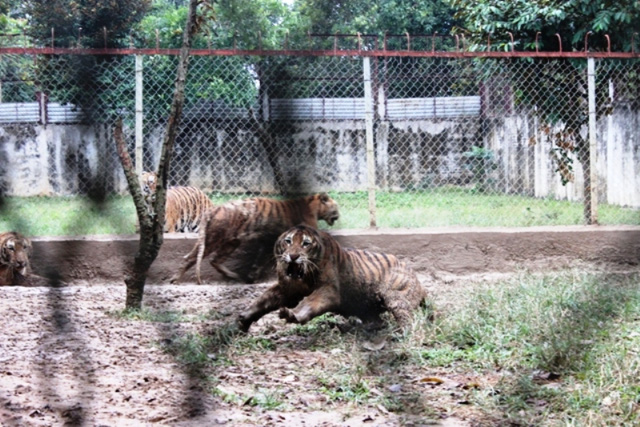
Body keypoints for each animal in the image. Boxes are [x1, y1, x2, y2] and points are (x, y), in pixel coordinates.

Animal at [170, 193, 340, 284]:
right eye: (336, 208)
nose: (339, 215)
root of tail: (215, 208)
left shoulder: (267, 242)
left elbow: (260, 261)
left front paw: (252, 277)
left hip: (231, 242)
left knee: (214, 260)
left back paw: (233, 276)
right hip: (213, 239)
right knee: (190, 258)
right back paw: (174, 279)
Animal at [238, 226, 428, 332]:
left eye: (305, 243)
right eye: (288, 241)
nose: (293, 256)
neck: (303, 277)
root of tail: (419, 282)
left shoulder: (328, 290)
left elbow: (309, 302)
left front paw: (294, 315)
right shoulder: (287, 289)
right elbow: (263, 300)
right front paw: (243, 318)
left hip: (395, 296)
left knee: (409, 320)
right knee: (377, 321)